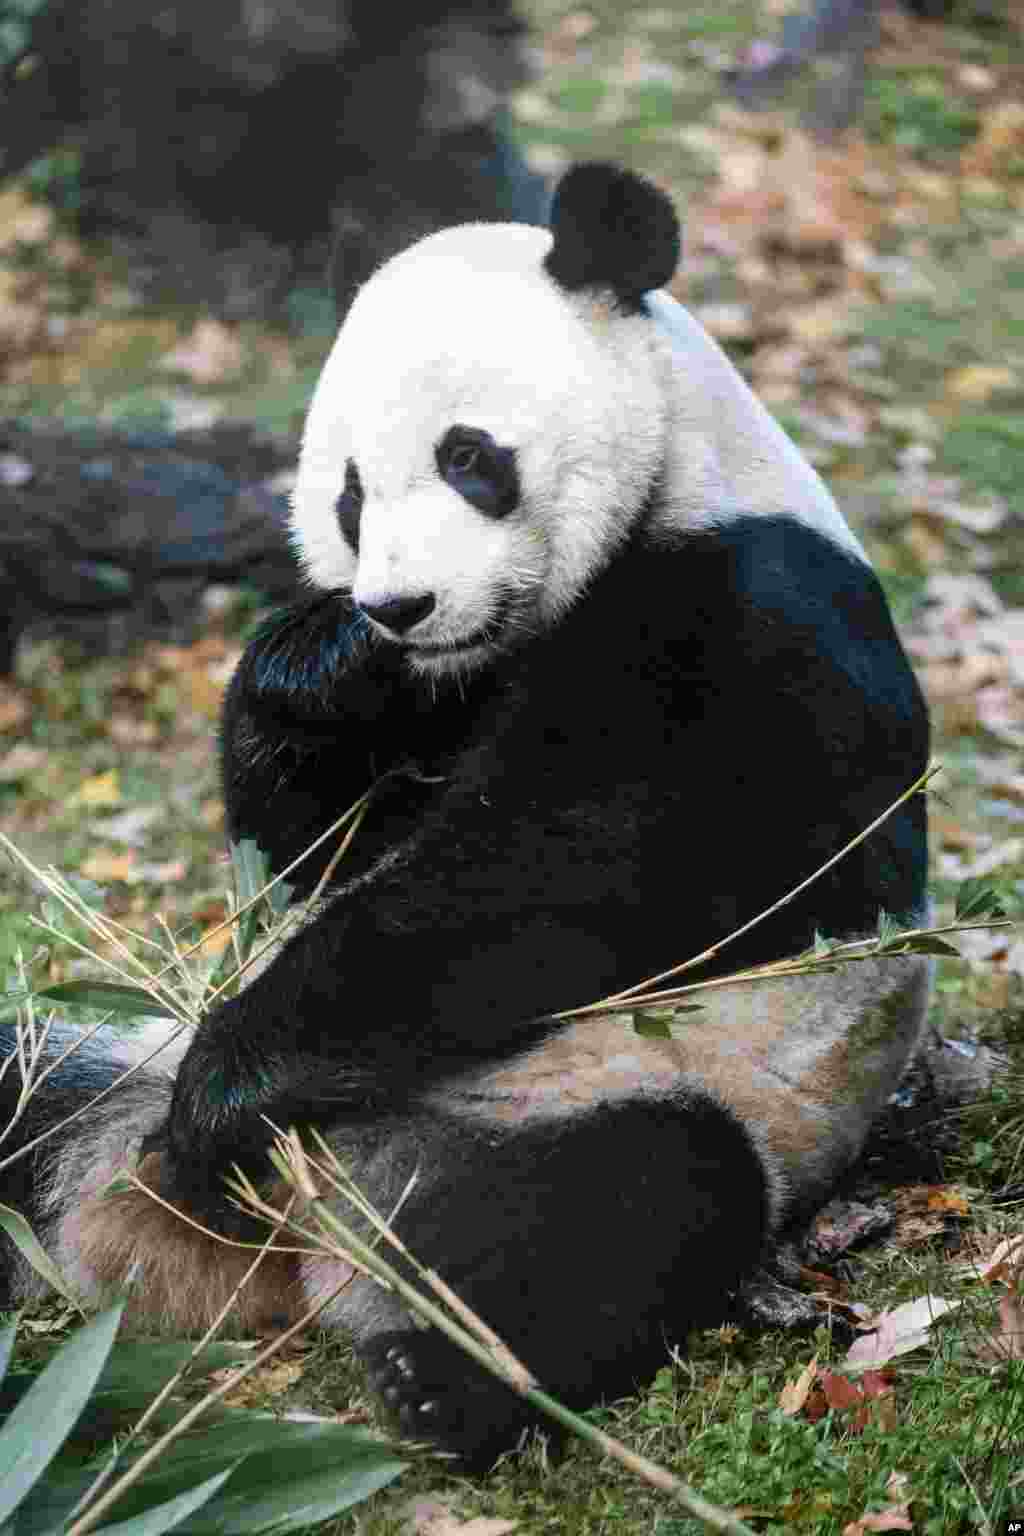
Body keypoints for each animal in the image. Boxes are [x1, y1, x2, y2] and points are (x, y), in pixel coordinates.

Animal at [0, 165, 927, 1462]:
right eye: (346, 494)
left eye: (468, 456)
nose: (400, 606)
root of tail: (299, 1237)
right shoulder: (434, 698)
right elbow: (314, 852)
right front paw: (316, 665)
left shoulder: (757, 615)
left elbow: (585, 869)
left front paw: (230, 1083)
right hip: (103, 1067)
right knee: (23, 1092)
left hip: (620, 1094)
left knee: (618, 1207)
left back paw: (437, 1376)